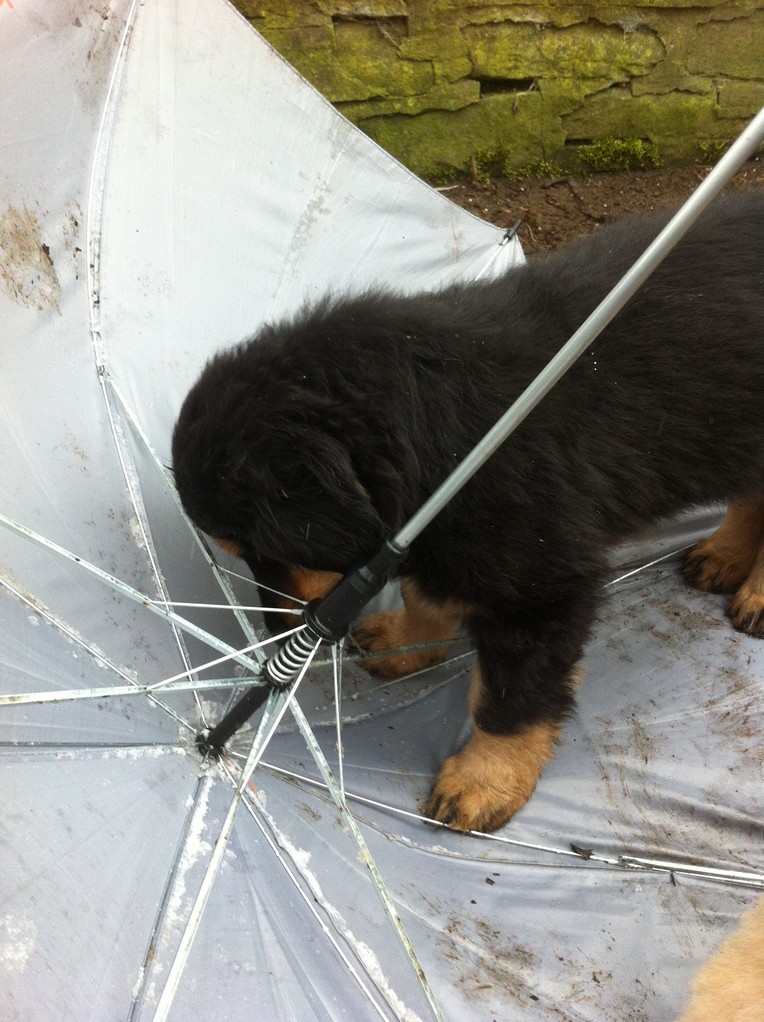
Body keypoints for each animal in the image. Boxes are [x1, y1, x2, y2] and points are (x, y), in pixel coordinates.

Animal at [171, 190, 763, 829]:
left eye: (264, 547)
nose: (276, 636)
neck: (445, 432)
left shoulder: (541, 587)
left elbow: (509, 698)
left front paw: (484, 782)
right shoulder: (433, 528)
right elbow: (425, 591)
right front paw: (409, 640)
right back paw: (724, 556)